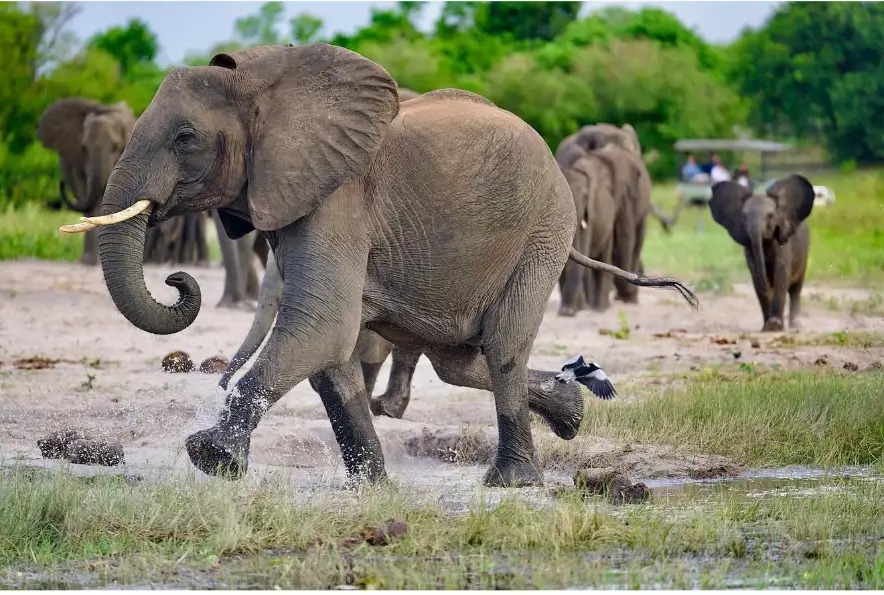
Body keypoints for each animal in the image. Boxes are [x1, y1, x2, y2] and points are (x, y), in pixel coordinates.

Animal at [76, 43, 697, 488]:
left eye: (186, 137)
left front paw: (211, 457)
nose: (177, 280)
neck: (261, 82)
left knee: (501, 347)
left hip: (543, 228)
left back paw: (512, 482)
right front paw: (369, 487)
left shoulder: (338, 198)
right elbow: (332, 349)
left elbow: (321, 326)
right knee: (459, 361)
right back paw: (569, 414)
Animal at [709, 175, 814, 332]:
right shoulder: (749, 247)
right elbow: (756, 276)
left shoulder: (783, 243)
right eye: (744, 217)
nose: (768, 287)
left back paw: (796, 326)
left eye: (770, 216)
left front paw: (775, 326)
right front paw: (766, 328)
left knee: (796, 289)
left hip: (804, 254)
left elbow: (781, 275)